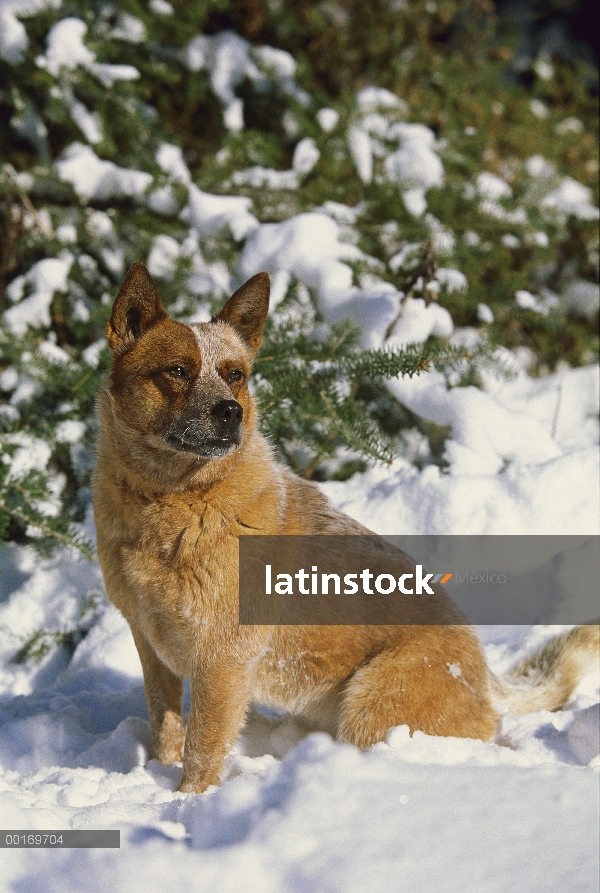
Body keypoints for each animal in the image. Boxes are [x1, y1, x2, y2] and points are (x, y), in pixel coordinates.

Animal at [94, 262, 600, 792]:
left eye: (235, 375)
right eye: (176, 370)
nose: (231, 411)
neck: (171, 504)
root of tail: (483, 674)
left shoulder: (224, 658)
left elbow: (202, 749)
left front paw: (185, 801)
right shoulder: (149, 642)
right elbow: (166, 728)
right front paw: (157, 774)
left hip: (371, 703)